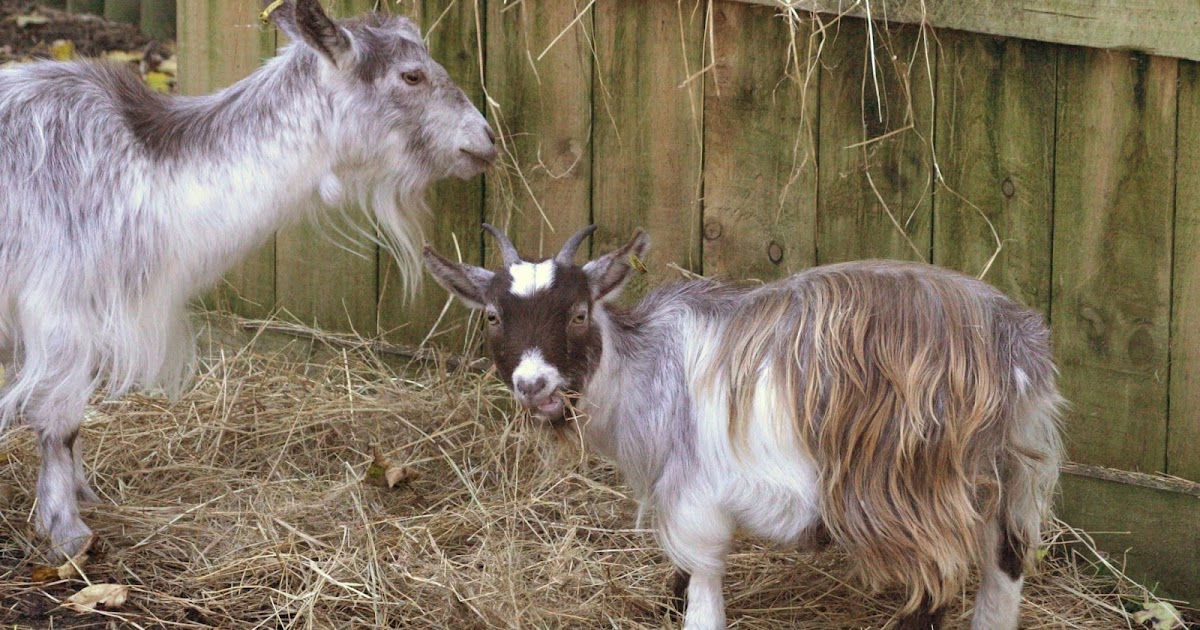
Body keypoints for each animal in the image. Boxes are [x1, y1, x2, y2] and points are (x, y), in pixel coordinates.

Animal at [0, 0, 495, 558]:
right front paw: (67, 532)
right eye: (411, 75)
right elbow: (59, 422)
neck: (148, 169)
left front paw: (86, 495)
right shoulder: (59, 309)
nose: (485, 141)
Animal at [424, 225, 1064, 630]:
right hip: (1013, 468)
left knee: (939, 579)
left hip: (911, 485)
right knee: (1006, 562)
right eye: (492, 316)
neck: (643, 369)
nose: (534, 386)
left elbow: (702, 591)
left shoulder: (695, 500)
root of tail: (1012, 343)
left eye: (579, 313)